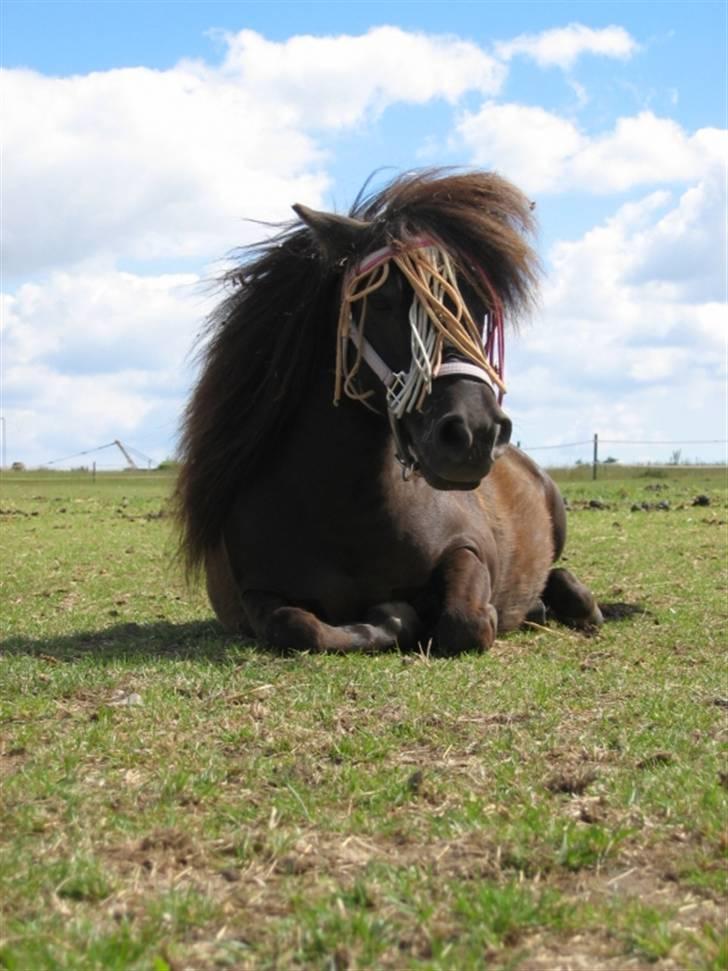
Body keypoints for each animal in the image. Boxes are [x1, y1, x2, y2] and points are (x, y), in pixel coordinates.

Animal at [173, 169, 600, 652]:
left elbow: (466, 622)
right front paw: (394, 617)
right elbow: (300, 626)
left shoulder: (467, 549)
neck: (345, 516)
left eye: (480, 312)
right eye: (381, 301)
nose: (475, 434)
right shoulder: (254, 595)